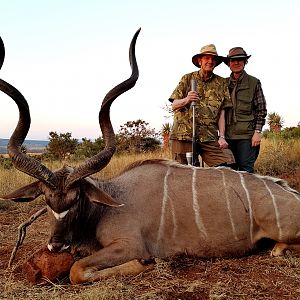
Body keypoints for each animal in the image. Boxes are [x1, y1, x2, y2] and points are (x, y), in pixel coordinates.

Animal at [0, 31, 300, 286]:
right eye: (46, 198)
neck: (110, 201)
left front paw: (146, 264)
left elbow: (77, 270)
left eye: (77, 198)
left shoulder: (128, 244)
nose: (57, 245)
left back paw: (277, 249)